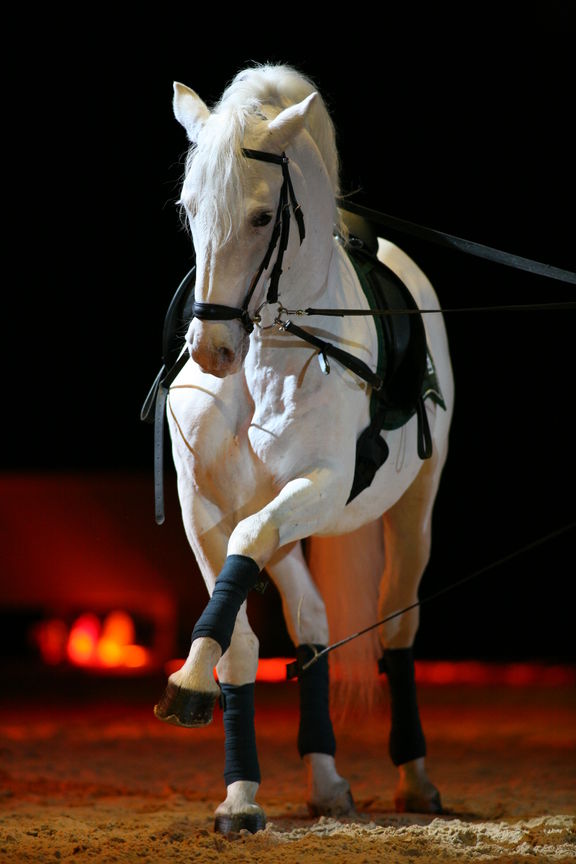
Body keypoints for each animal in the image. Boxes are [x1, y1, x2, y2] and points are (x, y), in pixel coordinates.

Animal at [154, 64, 454, 832]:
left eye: (264, 218)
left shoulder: (314, 487)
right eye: (188, 211)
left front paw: (187, 682)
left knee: (398, 621)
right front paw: (238, 795)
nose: (214, 351)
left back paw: (416, 779)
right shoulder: (204, 509)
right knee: (313, 620)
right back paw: (325, 780)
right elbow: (240, 640)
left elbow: (249, 551)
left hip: (414, 508)